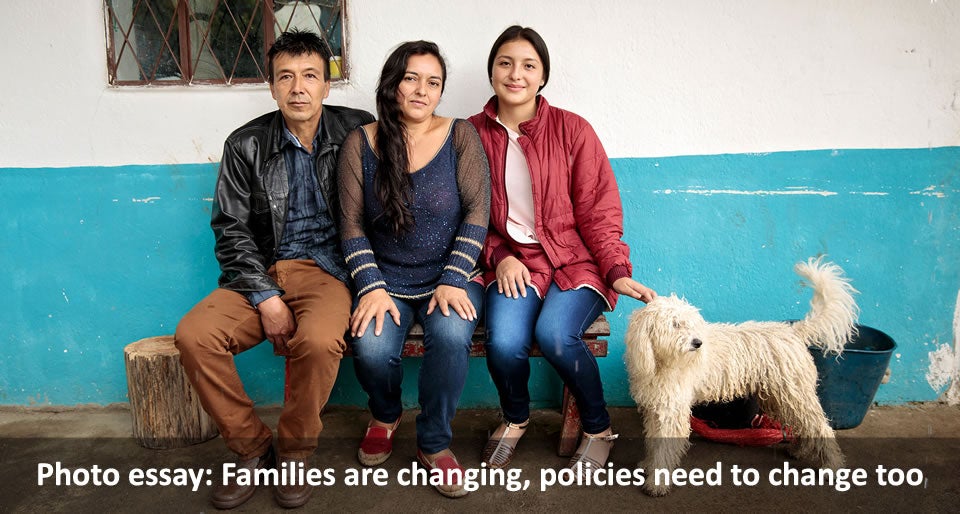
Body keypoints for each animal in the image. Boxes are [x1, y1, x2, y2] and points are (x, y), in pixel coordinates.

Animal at [628, 258, 860, 494]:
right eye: (675, 324)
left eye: (690, 324)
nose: (697, 343)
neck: (660, 362)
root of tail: (793, 331)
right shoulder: (655, 406)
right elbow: (654, 441)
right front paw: (648, 466)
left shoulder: (671, 409)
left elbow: (664, 447)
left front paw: (658, 482)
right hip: (782, 397)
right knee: (803, 424)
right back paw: (800, 450)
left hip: (795, 394)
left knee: (821, 427)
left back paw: (832, 467)